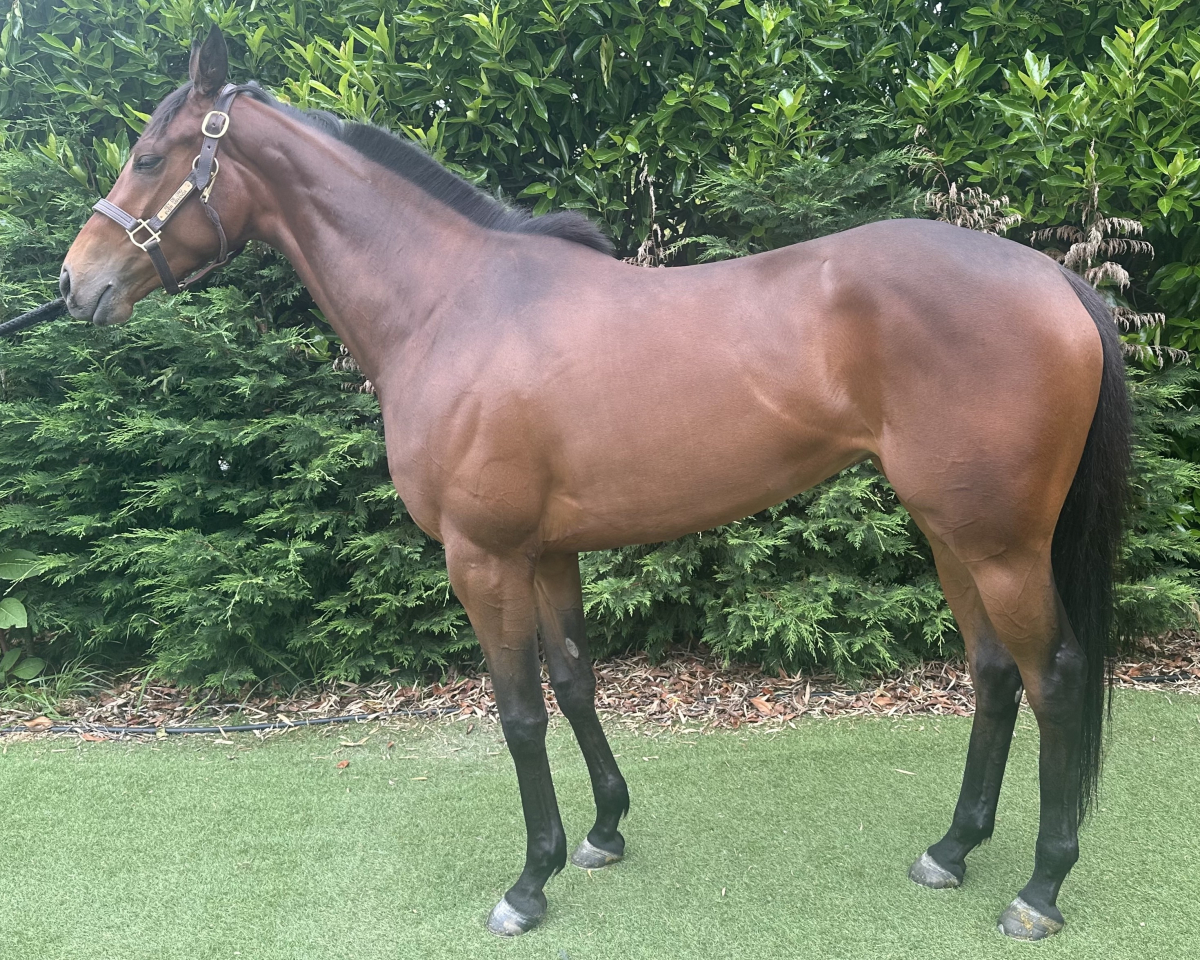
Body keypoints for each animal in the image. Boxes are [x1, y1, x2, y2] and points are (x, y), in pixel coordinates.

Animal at [60, 27, 1129, 940]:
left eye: (148, 158)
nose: (76, 284)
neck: (453, 303)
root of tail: (1054, 280)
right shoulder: (545, 552)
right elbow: (575, 681)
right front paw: (603, 832)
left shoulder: (482, 557)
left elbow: (519, 712)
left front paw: (527, 883)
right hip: (951, 530)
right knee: (994, 673)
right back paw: (953, 848)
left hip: (1000, 543)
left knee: (1054, 676)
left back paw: (1040, 887)